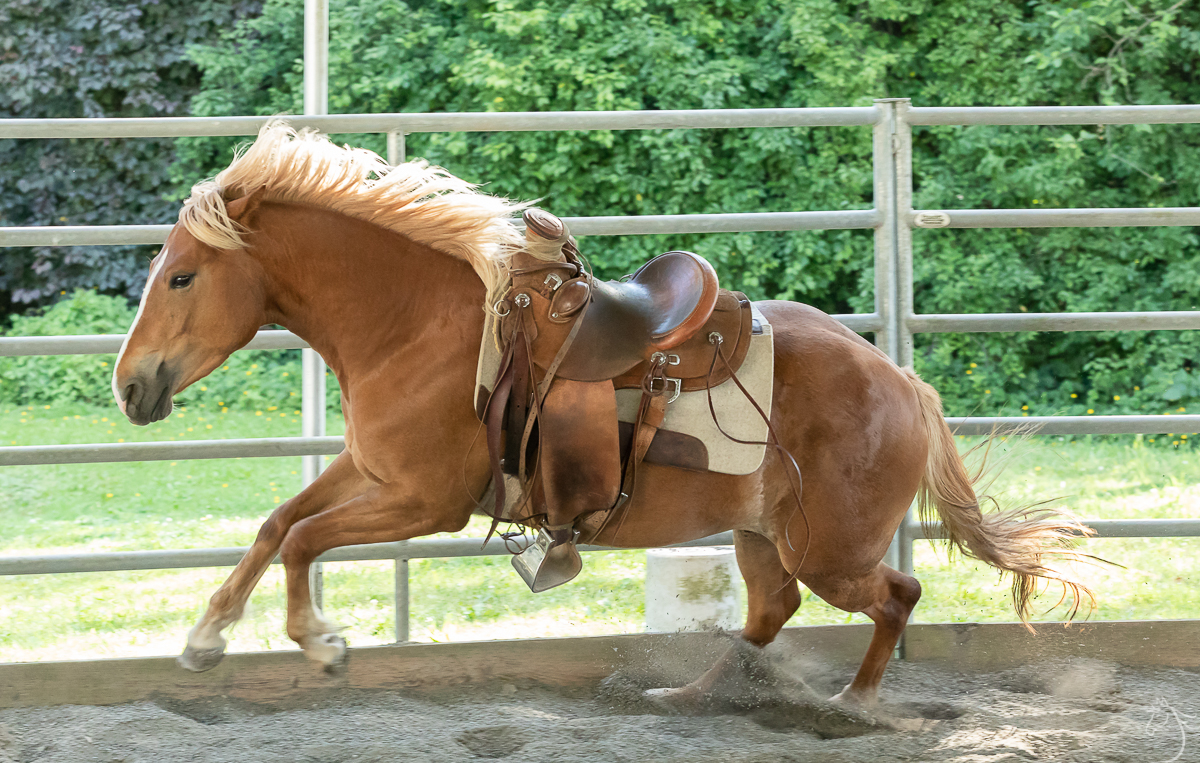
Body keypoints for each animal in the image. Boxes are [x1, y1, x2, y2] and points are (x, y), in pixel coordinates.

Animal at [112, 122, 1092, 708]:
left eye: (182, 275)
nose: (129, 386)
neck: (418, 323)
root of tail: (902, 382)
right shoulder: (372, 470)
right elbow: (279, 523)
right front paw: (204, 638)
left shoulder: (423, 500)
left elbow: (306, 540)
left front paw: (320, 643)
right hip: (764, 533)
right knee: (771, 608)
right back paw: (689, 695)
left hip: (831, 550)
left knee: (896, 594)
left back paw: (852, 704)